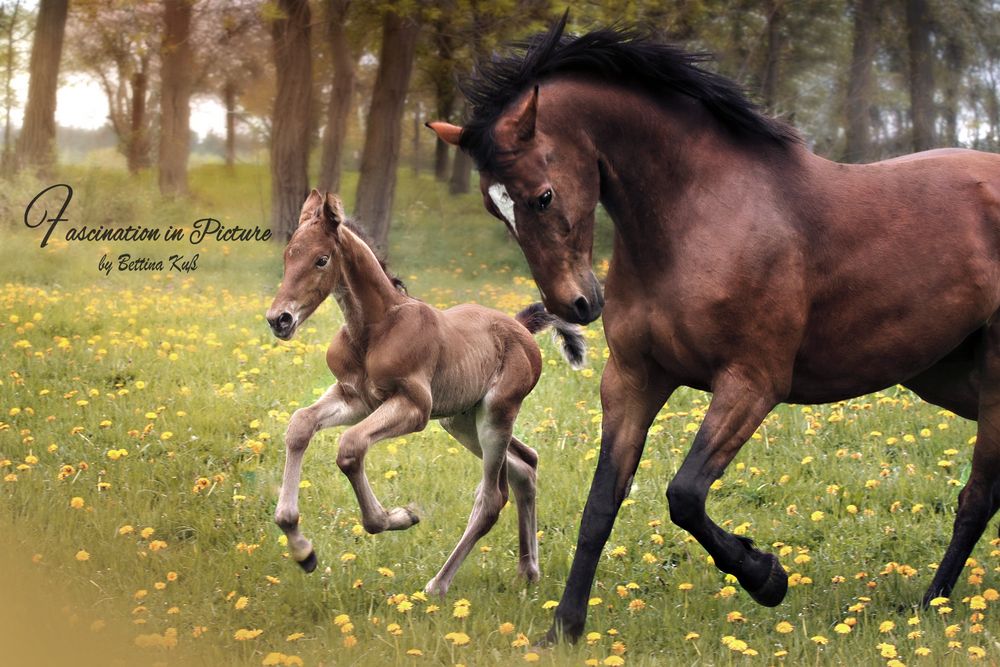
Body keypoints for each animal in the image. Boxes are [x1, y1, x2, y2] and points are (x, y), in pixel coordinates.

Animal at [265, 190, 585, 596]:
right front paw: (302, 548)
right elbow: (300, 424)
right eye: (288, 255)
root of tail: (520, 327)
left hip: (496, 414)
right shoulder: (355, 398)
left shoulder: (414, 407)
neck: (373, 328)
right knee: (524, 466)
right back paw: (528, 572)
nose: (280, 320)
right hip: (461, 421)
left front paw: (399, 517)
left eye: (321, 259)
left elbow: (351, 447)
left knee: (492, 497)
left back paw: (438, 585)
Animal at [428, 15, 1000, 642]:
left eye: (543, 195)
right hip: (947, 379)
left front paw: (766, 576)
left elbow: (684, 495)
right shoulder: (633, 380)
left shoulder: (751, 384)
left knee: (976, 497)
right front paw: (565, 629)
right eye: (494, 207)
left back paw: (930, 604)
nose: (575, 305)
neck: (702, 217)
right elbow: (601, 503)